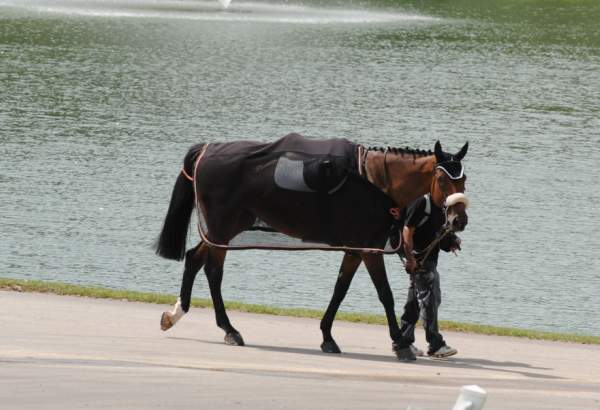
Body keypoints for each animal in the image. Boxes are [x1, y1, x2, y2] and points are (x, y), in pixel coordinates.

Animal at [155, 133, 468, 360]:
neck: (374, 181)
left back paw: (177, 313)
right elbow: (385, 295)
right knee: (213, 272)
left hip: (226, 228)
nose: (459, 219)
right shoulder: (369, 250)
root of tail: (205, 151)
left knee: (195, 258)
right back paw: (229, 329)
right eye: (442, 178)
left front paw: (327, 336)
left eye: (464, 178)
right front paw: (400, 343)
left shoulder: (355, 250)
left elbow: (339, 290)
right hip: (222, 228)